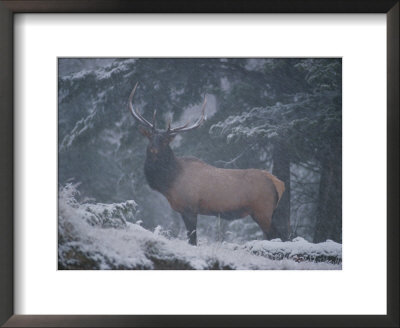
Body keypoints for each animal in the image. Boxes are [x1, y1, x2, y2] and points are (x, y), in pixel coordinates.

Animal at [128, 83, 284, 245]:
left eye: (165, 140)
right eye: (150, 137)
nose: (154, 149)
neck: (170, 181)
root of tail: (278, 183)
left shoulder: (190, 208)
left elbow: (193, 239)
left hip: (263, 210)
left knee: (278, 234)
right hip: (268, 212)